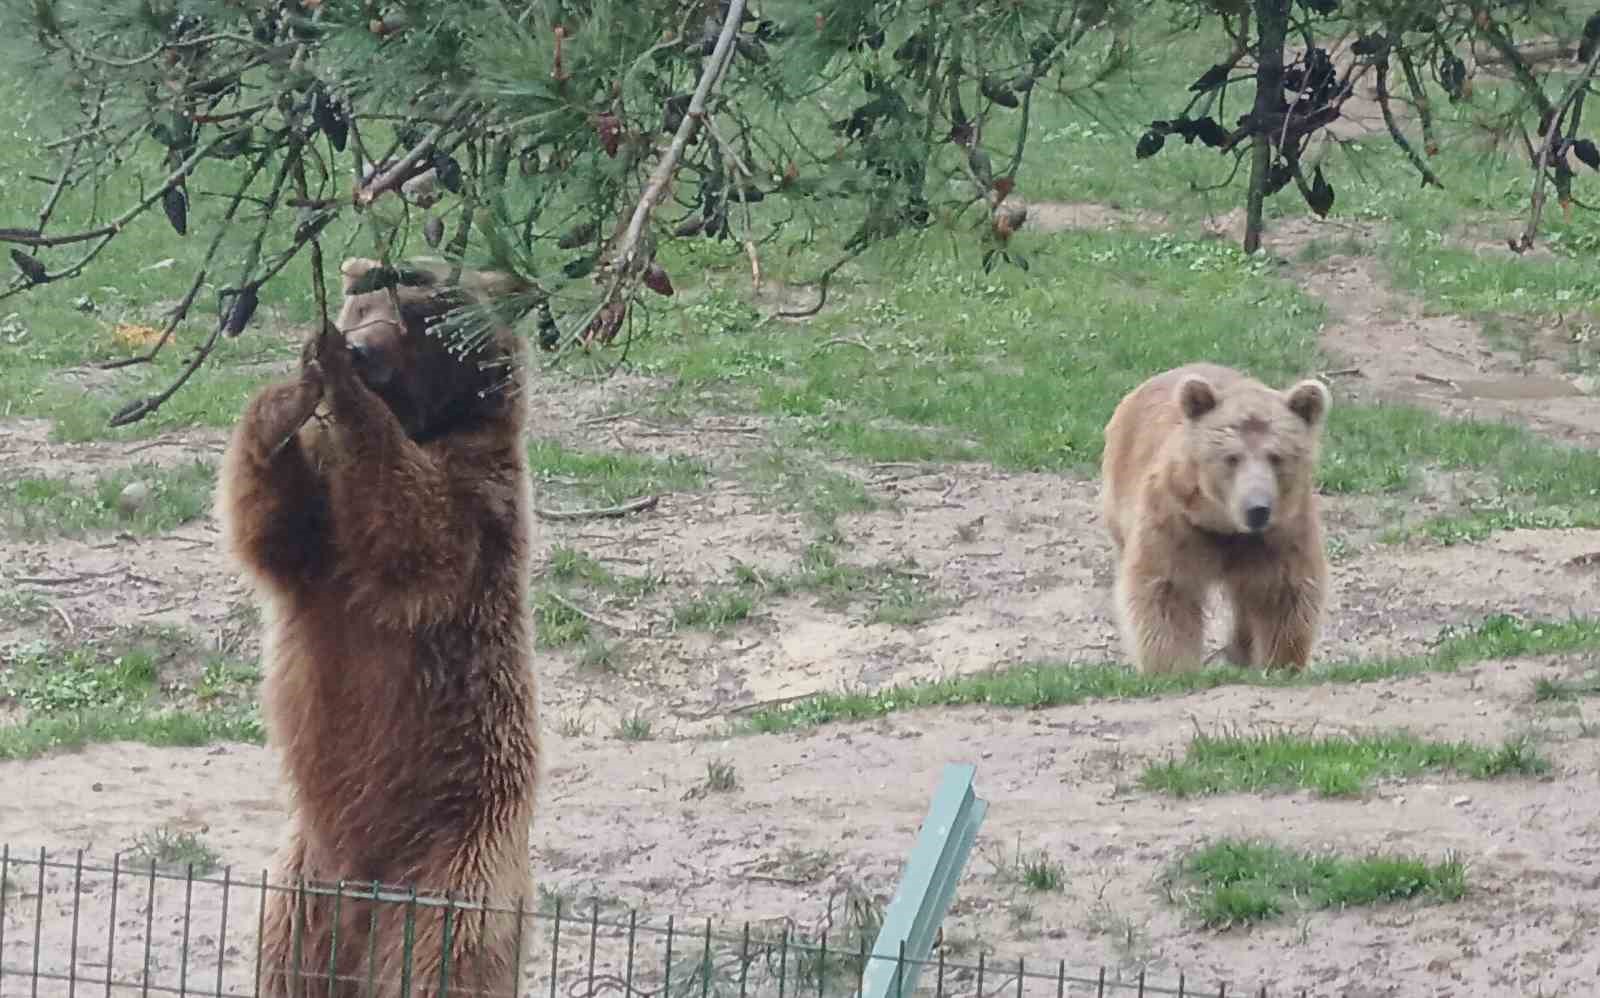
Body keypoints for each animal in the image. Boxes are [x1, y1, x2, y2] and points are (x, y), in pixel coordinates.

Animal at [212, 257, 544, 997]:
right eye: (364, 304)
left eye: (415, 313)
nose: (360, 349)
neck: (430, 422)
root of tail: (365, 908)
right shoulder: (320, 544)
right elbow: (269, 523)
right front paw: (293, 389)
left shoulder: (480, 498)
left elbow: (413, 528)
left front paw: (340, 381)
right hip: (300, 892)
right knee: (286, 963)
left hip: (458, 862)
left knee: (448, 955)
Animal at [1100, 366, 1337, 678]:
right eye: (1231, 457)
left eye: (1277, 456)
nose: (1257, 509)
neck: (1225, 527)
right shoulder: (1176, 522)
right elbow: (1166, 590)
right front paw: (1173, 668)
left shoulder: (1282, 532)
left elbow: (1284, 596)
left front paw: (1280, 664)